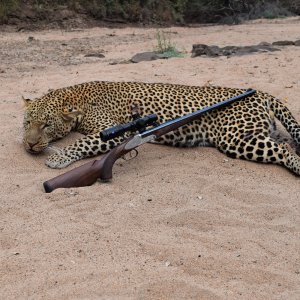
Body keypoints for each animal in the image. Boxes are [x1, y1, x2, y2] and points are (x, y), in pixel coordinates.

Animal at [22, 82, 300, 176]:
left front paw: (58, 157)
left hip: (235, 138)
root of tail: (261, 93)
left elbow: (81, 142)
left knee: (284, 149)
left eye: (47, 124)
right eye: (27, 123)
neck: (76, 98)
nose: (30, 144)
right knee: (287, 142)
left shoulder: (113, 132)